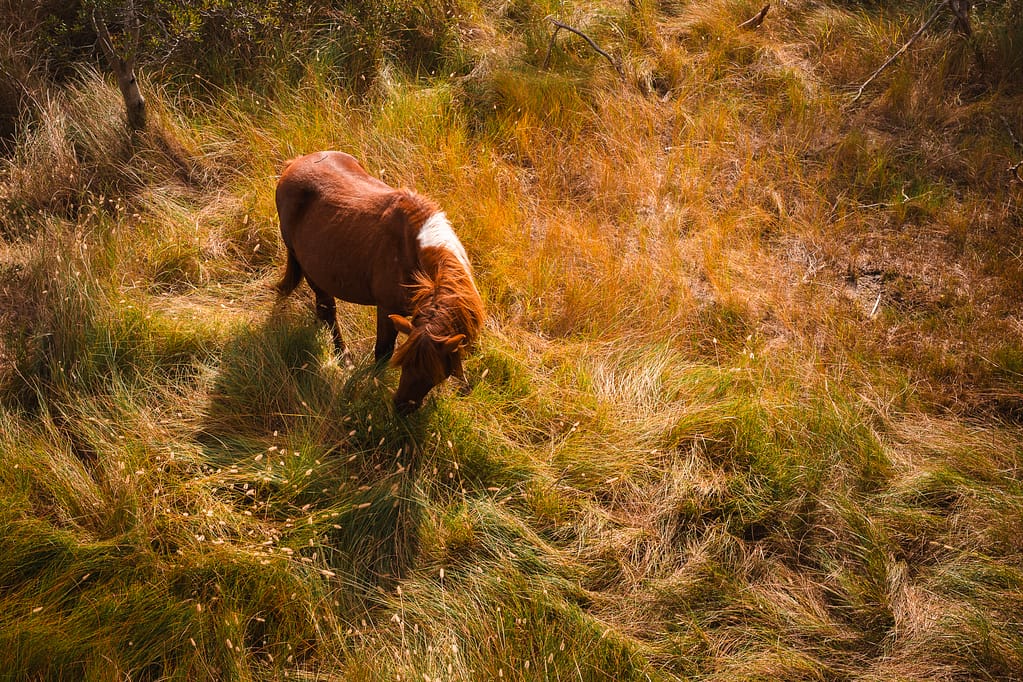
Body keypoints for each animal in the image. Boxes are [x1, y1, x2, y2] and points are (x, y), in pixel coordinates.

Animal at [274, 151, 484, 413]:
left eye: (436, 374)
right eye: (405, 364)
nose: (403, 407)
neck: (415, 252)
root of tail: (294, 163)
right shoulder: (387, 309)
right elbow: (383, 351)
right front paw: (372, 384)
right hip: (310, 269)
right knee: (328, 311)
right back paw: (344, 357)